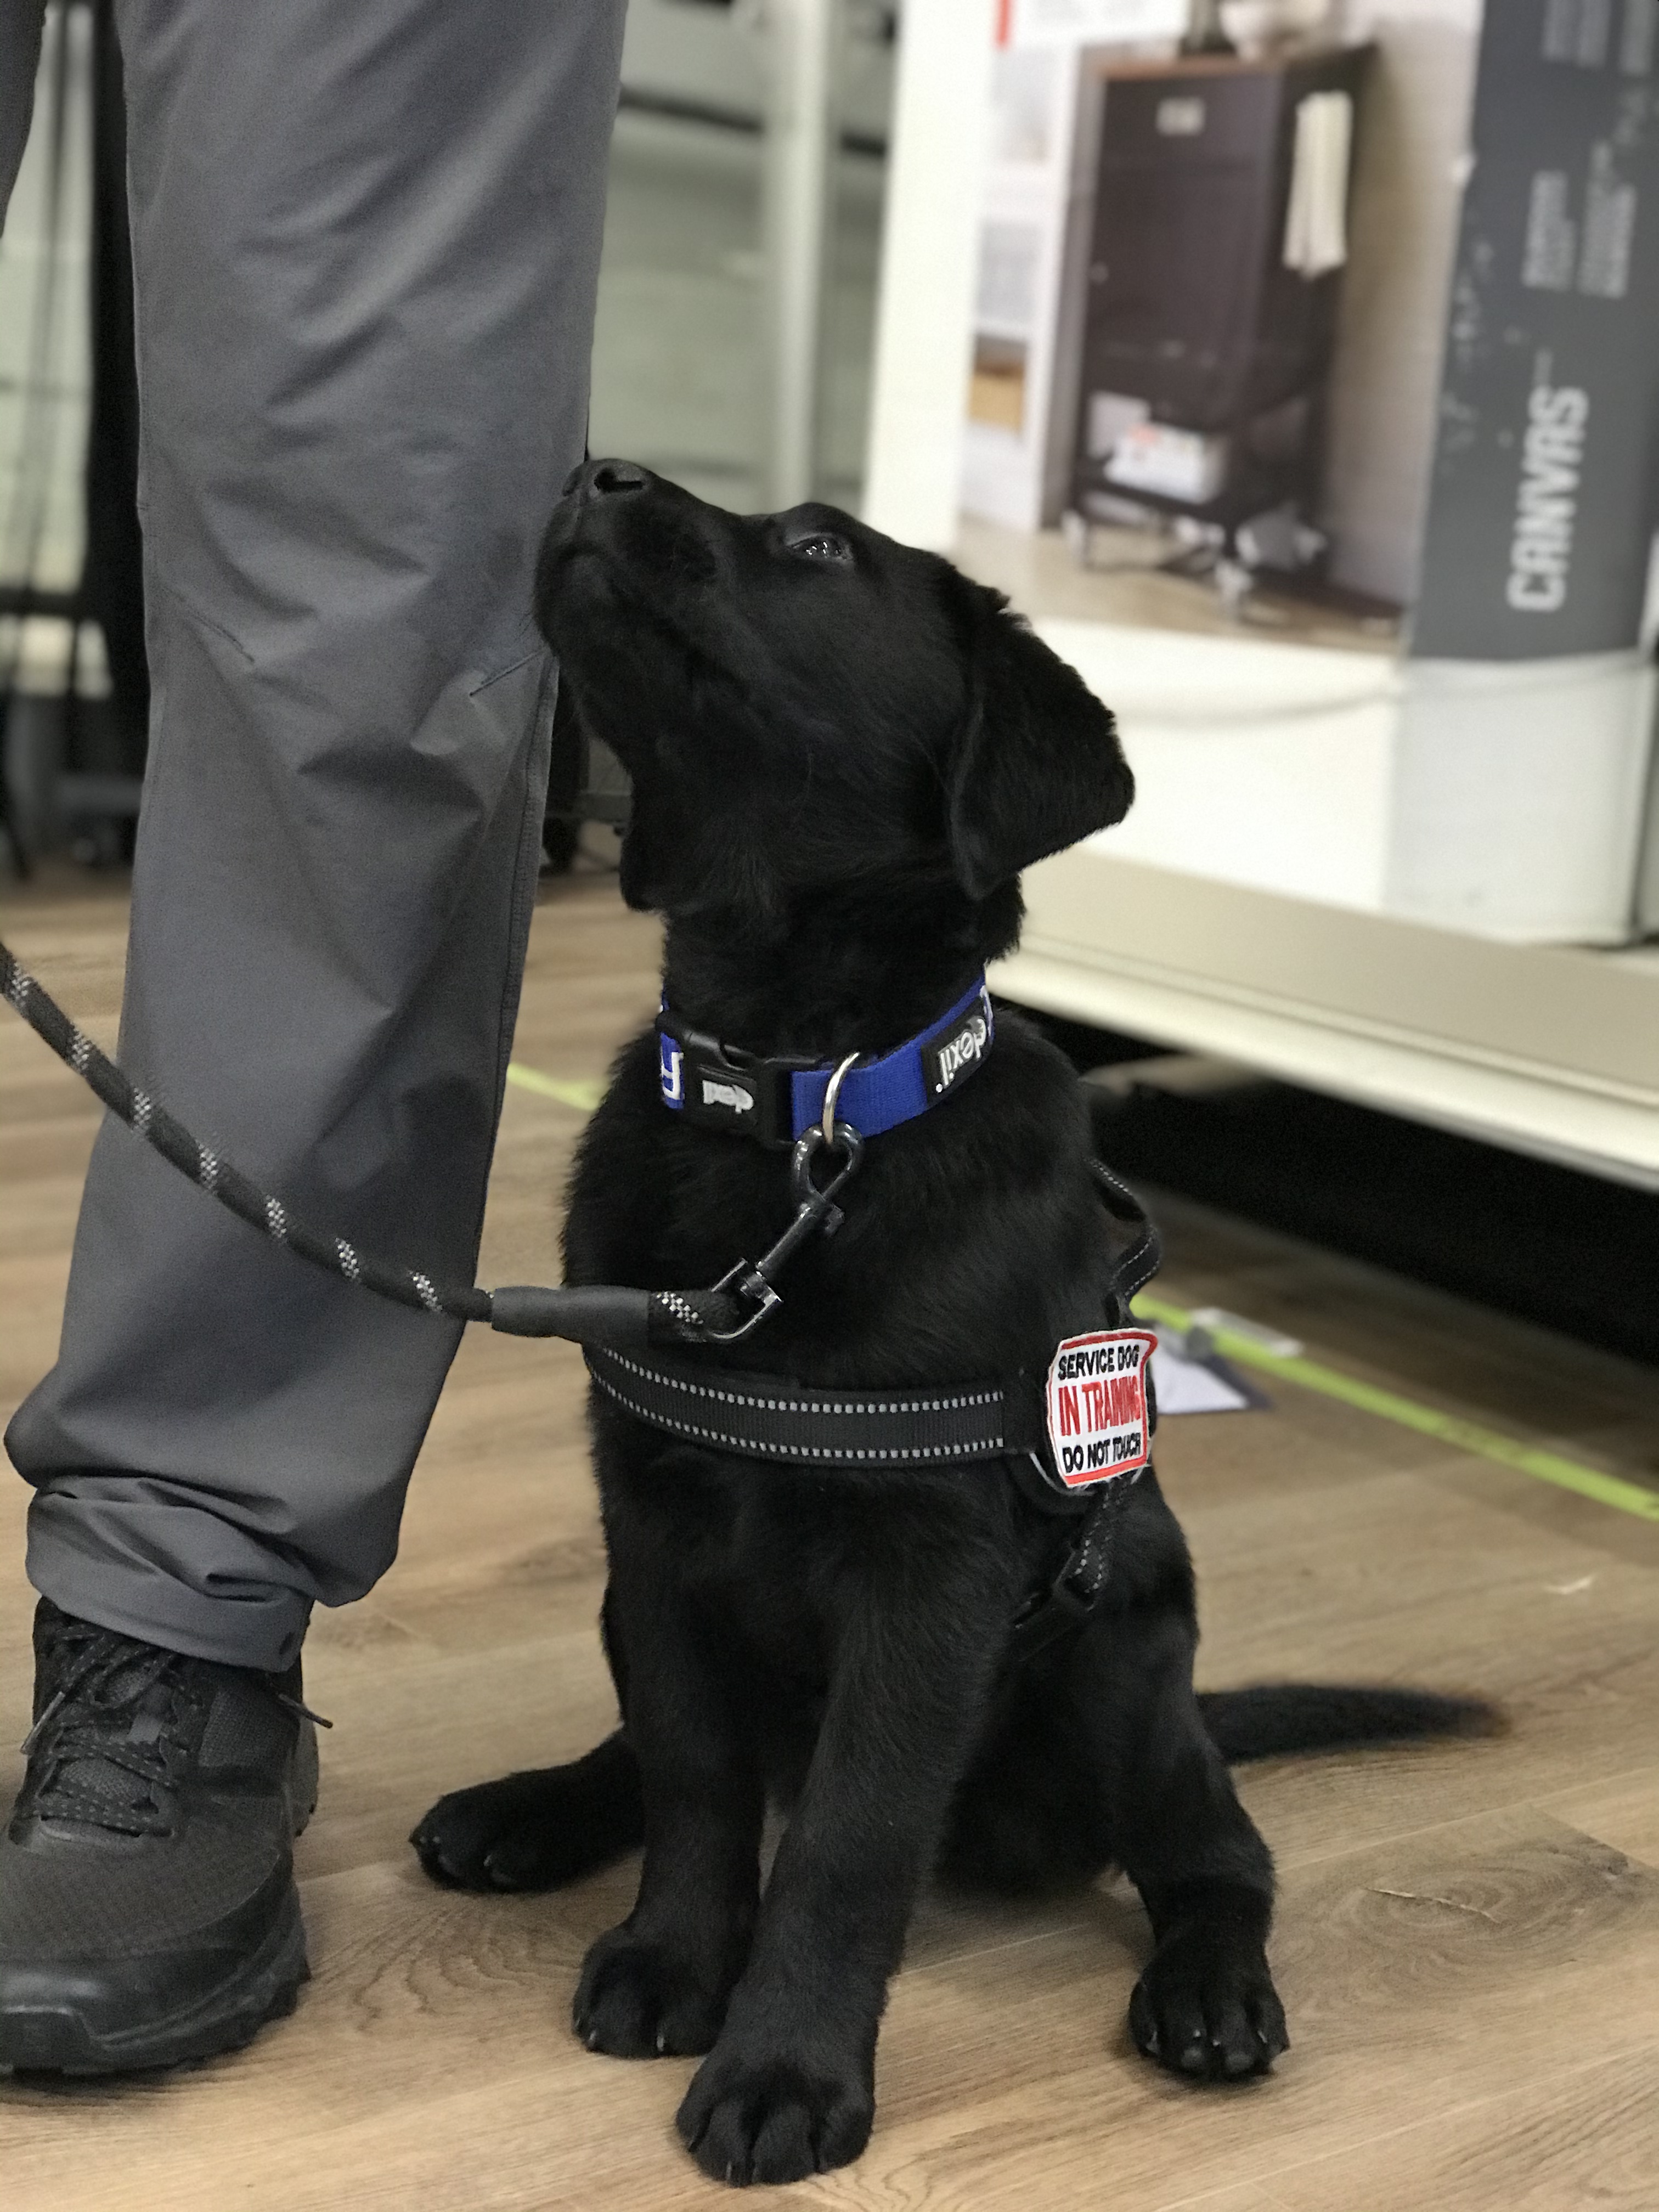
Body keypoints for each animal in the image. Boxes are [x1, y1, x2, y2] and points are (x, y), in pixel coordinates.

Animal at [416, 462, 1495, 2176]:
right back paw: (530, 1809)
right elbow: (697, 1774)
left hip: (1121, 1665)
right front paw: (672, 1957)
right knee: (658, 1754)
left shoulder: (928, 1585)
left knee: (1219, 1848)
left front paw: (784, 2066)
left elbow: (848, 1845)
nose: (597, 472)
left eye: (815, 547)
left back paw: (1211, 1989)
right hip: (632, 1605)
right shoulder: (652, 1532)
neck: (801, 1109)